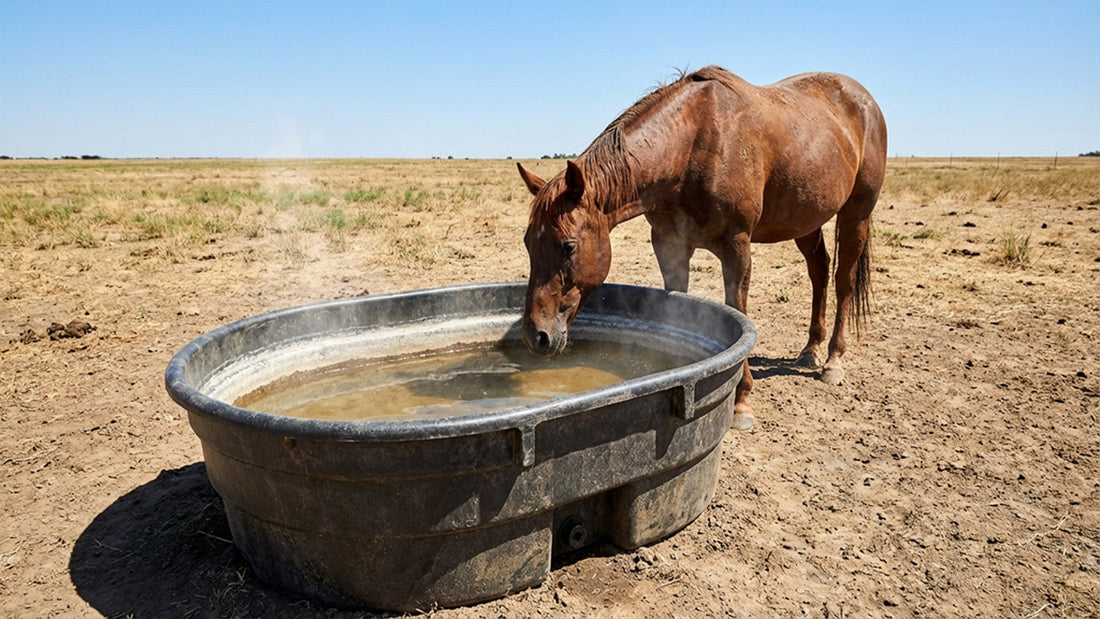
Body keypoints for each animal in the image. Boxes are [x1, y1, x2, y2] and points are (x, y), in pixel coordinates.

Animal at [517, 65, 887, 430]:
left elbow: (738, 309)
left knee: (843, 281)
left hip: (856, 213)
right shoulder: (670, 245)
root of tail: (863, 99)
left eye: (568, 246)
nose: (536, 336)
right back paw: (810, 349)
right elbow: (674, 309)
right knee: (819, 271)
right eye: (528, 244)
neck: (691, 148)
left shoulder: (737, 246)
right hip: (805, 220)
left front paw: (741, 399)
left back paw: (833, 361)